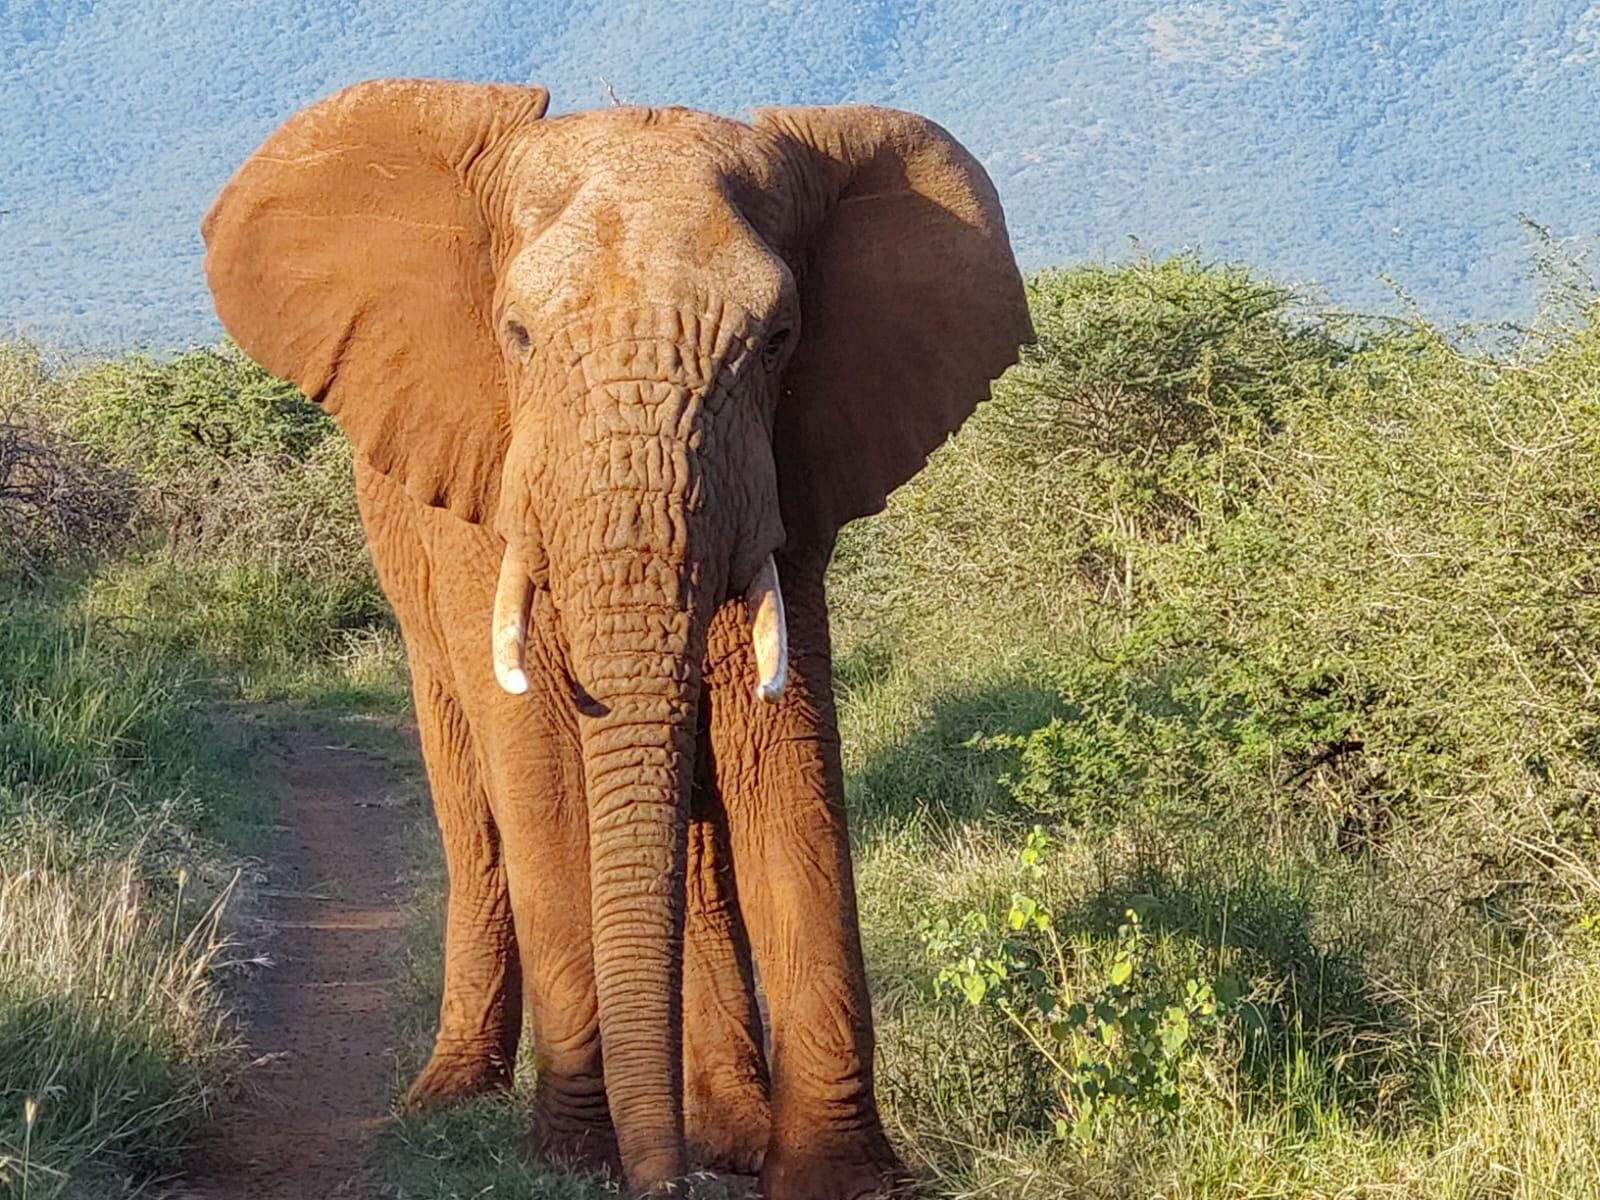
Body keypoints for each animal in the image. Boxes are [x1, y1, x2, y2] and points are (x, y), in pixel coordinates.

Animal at [200, 80, 1030, 1196]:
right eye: (515, 336)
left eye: (780, 338)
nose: (659, 1180)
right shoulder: (487, 479)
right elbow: (544, 762)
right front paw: (569, 1157)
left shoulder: (787, 476)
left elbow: (780, 752)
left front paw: (838, 1179)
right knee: (473, 795)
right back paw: (450, 1097)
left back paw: (725, 1129)